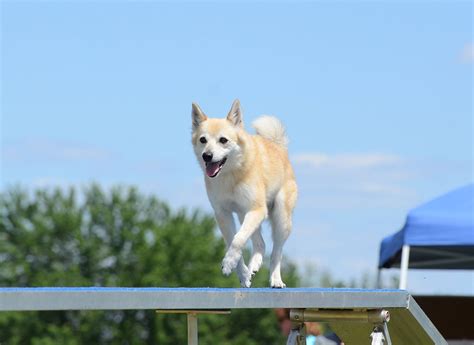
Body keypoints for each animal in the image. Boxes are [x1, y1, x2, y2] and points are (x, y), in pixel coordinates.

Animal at [192, 99, 296, 288]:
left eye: (223, 140)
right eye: (203, 140)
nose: (207, 156)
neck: (231, 174)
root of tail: (278, 146)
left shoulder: (256, 210)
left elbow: (238, 240)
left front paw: (228, 264)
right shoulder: (223, 214)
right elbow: (232, 241)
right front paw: (241, 273)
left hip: (280, 218)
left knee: (277, 252)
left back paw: (276, 280)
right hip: (244, 215)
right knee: (260, 243)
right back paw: (253, 267)